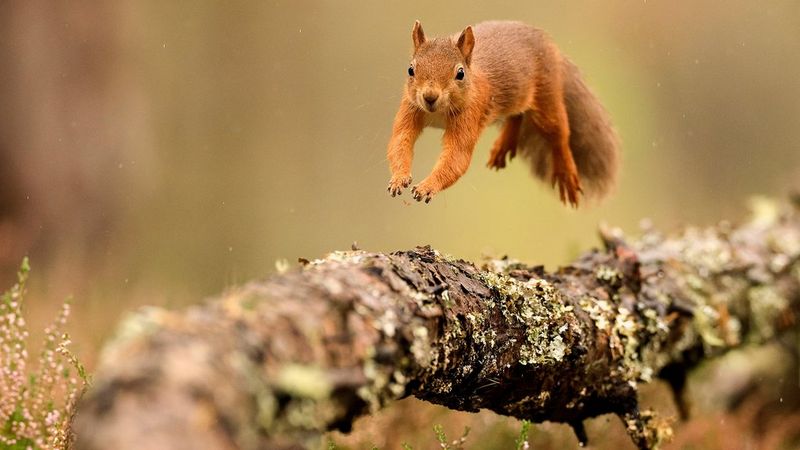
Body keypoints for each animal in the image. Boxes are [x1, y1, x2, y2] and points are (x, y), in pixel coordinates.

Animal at [386, 20, 620, 207]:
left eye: (460, 73)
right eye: (410, 69)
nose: (430, 97)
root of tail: (551, 47)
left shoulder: (470, 114)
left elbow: (457, 156)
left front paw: (427, 186)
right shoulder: (410, 107)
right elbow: (400, 142)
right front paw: (398, 178)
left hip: (547, 95)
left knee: (559, 134)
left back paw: (566, 174)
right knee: (517, 115)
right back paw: (503, 146)